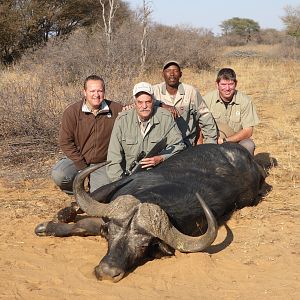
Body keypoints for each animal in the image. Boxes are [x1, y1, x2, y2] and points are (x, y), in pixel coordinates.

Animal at [34, 142, 264, 282]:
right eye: (110, 234)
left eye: (144, 244)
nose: (107, 273)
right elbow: (80, 222)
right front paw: (46, 226)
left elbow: (83, 226)